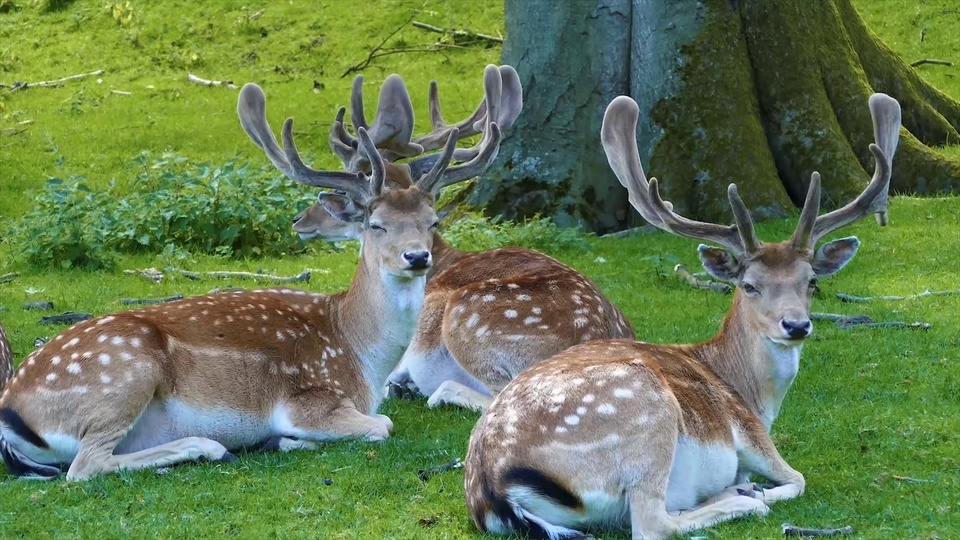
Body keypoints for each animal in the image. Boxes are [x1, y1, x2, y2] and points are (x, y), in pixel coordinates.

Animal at [0, 73, 496, 480]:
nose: (417, 257)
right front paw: (287, 438)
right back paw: (208, 446)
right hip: (123, 375)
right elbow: (383, 424)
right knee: (84, 466)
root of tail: (11, 413)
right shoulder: (308, 399)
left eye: (432, 221)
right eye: (376, 225)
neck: (362, 357)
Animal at [464, 93, 900, 540]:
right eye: (749, 285)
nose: (796, 325)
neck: (753, 394)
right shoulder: (749, 431)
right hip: (645, 412)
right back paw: (742, 498)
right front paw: (754, 488)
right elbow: (797, 478)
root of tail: (493, 488)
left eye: (811, 281)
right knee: (653, 523)